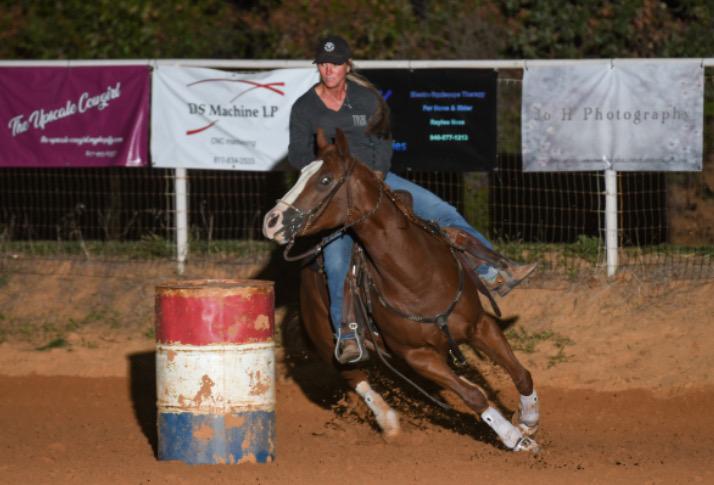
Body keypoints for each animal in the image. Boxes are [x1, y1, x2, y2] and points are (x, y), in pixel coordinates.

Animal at [264, 129, 536, 450]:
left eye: (325, 180)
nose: (271, 221)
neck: (417, 276)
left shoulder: (480, 325)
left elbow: (521, 374)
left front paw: (528, 420)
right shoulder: (417, 356)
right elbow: (473, 396)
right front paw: (514, 438)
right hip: (325, 339)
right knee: (354, 377)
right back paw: (388, 421)